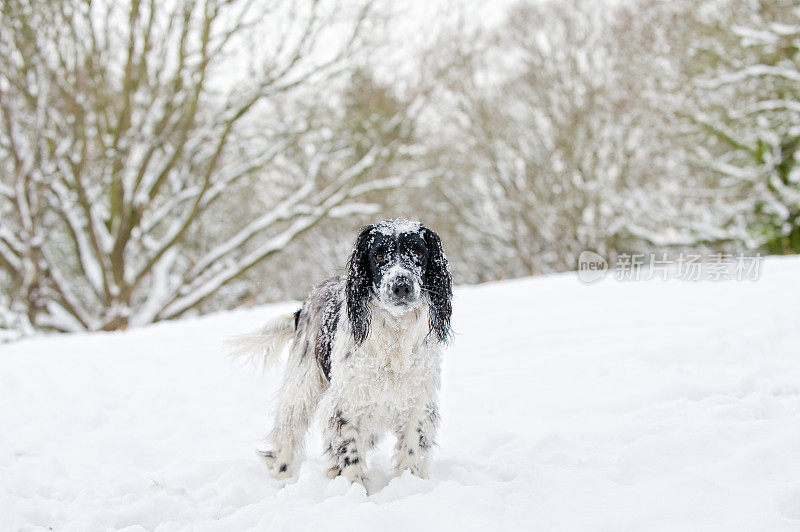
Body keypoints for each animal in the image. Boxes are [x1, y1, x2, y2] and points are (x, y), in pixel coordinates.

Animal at [231, 219, 454, 486]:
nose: (401, 285)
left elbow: (412, 452)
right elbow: (349, 454)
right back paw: (283, 477)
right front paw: (354, 488)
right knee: (288, 431)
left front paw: (408, 485)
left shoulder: (417, 403)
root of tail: (307, 301)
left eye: (419, 252)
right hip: (301, 385)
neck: (394, 335)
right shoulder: (346, 404)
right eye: (378, 255)